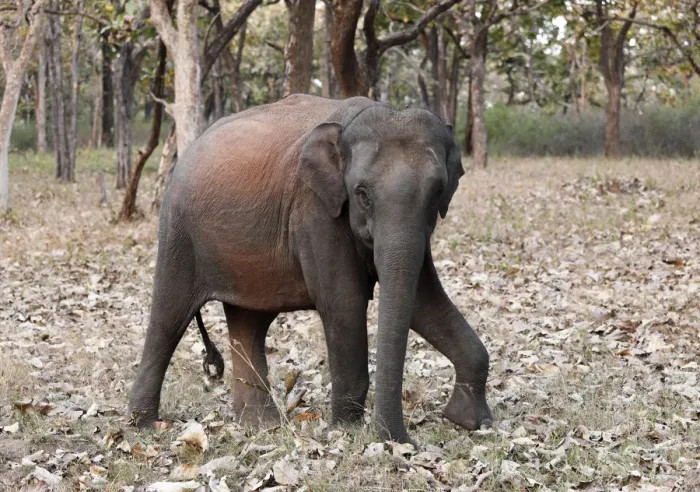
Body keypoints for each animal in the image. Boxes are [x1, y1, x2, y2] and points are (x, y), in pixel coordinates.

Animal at [128, 94, 493, 444]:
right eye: (362, 194)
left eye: (437, 192)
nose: (404, 441)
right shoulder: (315, 211)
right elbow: (345, 303)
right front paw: (345, 432)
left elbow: (423, 303)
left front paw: (468, 421)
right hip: (178, 231)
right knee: (169, 317)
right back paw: (144, 425)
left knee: (249, 324)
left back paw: (260, 425)